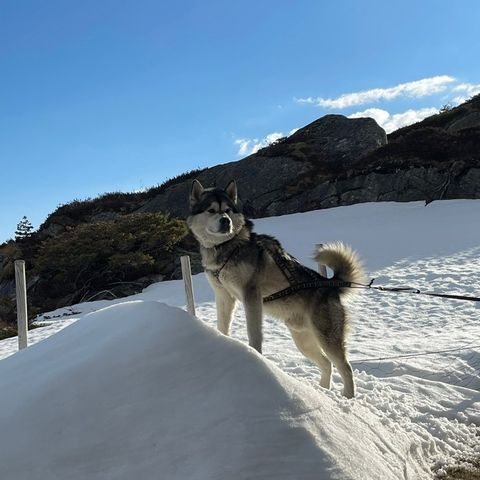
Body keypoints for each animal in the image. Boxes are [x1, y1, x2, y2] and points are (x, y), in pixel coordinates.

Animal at [188, 180, 364, 398]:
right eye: (211, 210)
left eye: (228, 210)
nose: (226, 221)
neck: (227, 247)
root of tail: (329, 285)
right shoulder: (223, 296)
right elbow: (222, 326)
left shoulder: (251, 296)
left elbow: (254, 334)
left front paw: (255, 356)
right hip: (303, 339)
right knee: (326, 364)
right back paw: (323, 391)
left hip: (327, 337)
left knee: (345, 367)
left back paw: (347, 398)